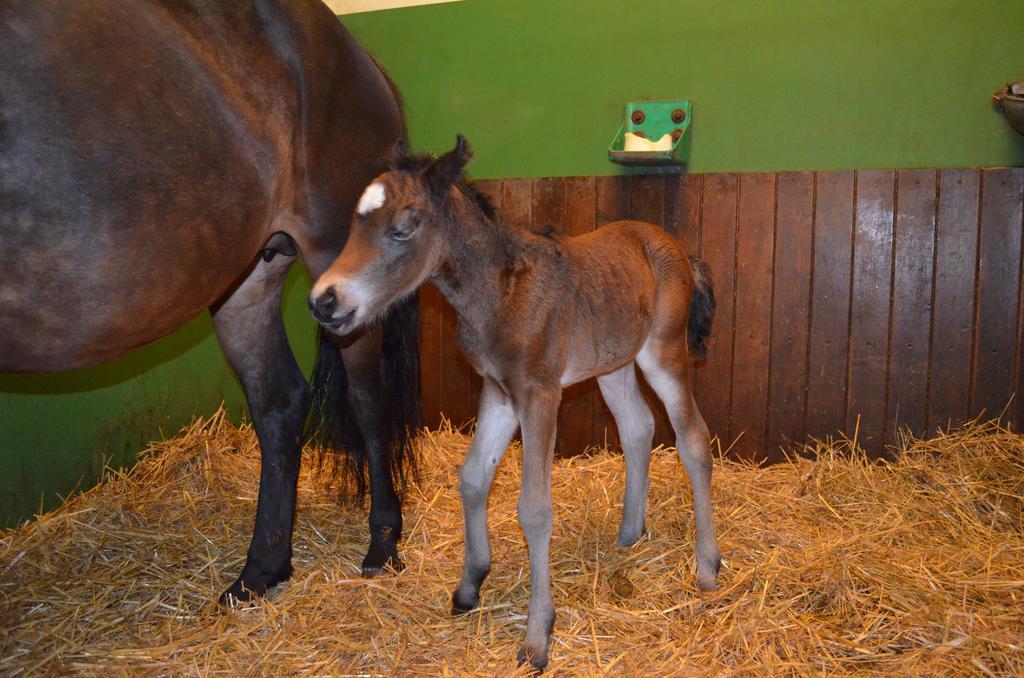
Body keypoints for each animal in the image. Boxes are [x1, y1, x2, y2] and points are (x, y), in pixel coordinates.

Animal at [0, 1, 417, 606]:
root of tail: (359, 56)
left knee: (367, 397)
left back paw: (382, 543)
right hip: (247, 280)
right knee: (279, 402)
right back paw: (262, 570)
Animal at [311, 135, 720, 671]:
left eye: (403, 229)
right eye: (355, 223)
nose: (324, 301)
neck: (499, 293)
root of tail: (679, 249)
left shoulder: (539, 393)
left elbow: (534, 508)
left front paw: (537, 636)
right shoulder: (498, 392)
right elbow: (472, 478)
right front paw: (469, 586)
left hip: (664, 352)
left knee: (693, 439)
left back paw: (707, 567)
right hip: (612, 363)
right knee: (637, 427)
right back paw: (629, 534)